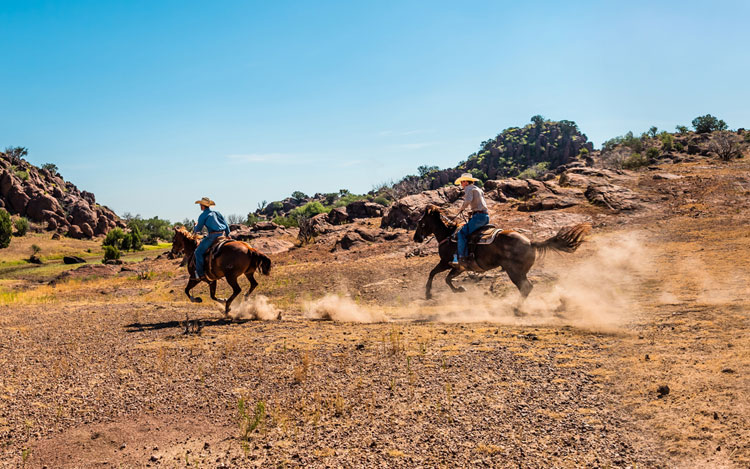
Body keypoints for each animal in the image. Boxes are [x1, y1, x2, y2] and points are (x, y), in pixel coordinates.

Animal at [414, 205, 592, 300]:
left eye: (421, 222)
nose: (416, 238)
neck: (448, 234)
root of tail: (530, 242)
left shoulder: (446, 262)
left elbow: (433, 273)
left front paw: (428, 293)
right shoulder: (459, 267)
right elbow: (447, 279)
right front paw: (459, 289)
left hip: (514, 272)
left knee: (526, 288)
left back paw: (516, 309)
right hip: (520, 272)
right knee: (527, 288)